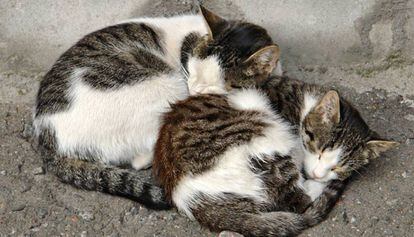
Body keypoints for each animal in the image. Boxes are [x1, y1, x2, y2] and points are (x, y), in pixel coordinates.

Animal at [32, 6, 282, 209]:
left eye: (215, 84)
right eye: (195, 69)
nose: (194, 89)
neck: (189, 41)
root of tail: (49, 141)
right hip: (164, 86)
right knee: (142, 156)